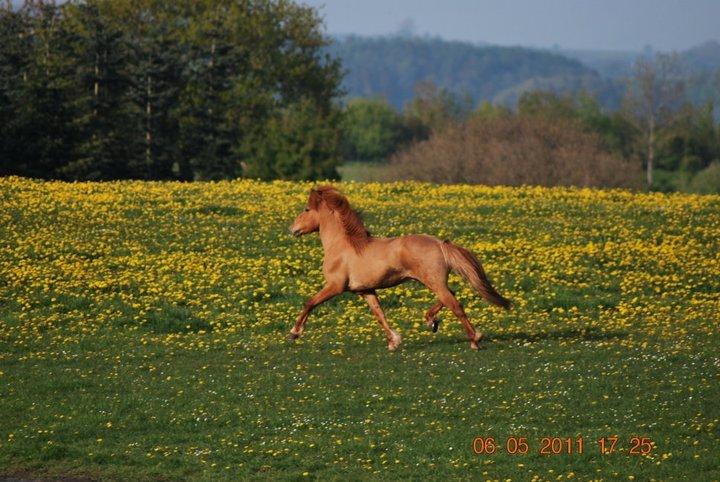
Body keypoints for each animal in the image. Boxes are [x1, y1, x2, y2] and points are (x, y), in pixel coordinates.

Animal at [290, 185, 510, 350]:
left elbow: (309, 303)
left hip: (433, 281)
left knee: (455, 304)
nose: (293, 229)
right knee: (451, 296)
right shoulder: (365, 290)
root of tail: (440, 243)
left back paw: (475, 339)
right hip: (433, 281)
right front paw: (393, 342)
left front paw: (295, 332)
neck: (343, 246)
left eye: (306, 209)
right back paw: (431, 320)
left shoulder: (335, 286)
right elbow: (379, 314)